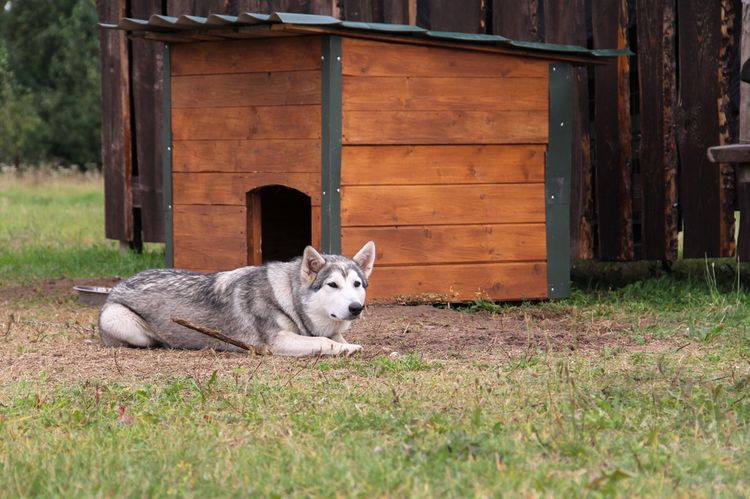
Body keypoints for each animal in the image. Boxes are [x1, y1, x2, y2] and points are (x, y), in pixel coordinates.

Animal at [100, 241, 378, 356]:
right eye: (332, 285)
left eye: (356, 284)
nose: (356, 308)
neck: (288, 299)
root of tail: (117, 286)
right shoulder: (278, 341)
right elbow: (324, 341)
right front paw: (348, 349)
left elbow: (334, 337)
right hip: (125, 324)